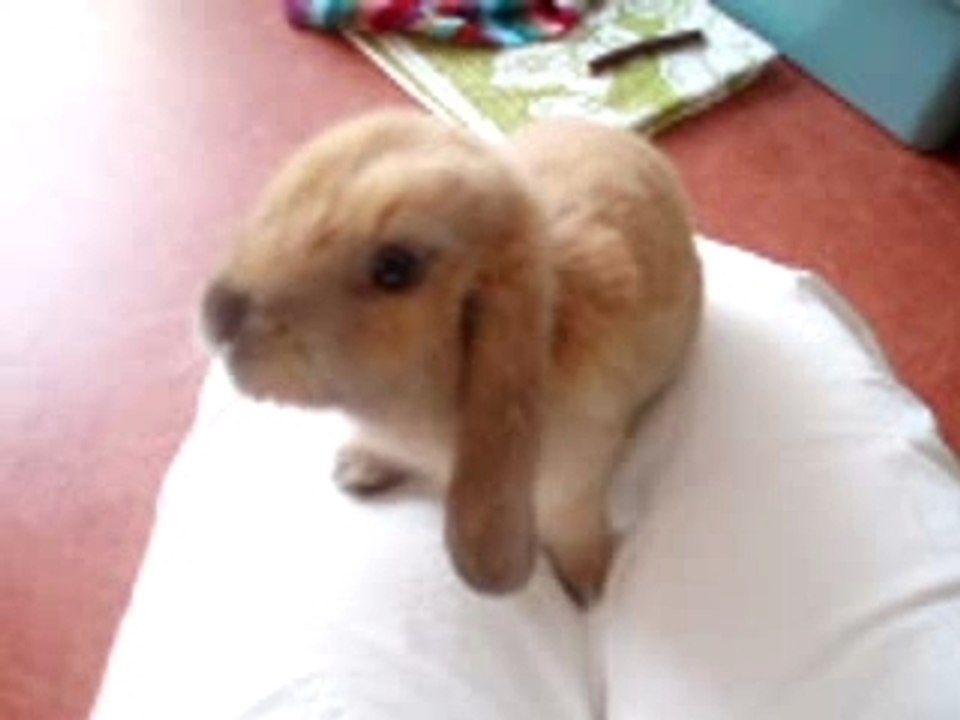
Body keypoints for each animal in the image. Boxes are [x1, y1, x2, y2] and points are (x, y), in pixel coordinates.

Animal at [200, 110, 701, 606]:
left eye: (395, 268)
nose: (217, 311)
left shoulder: (576, 482)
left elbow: (573, 526)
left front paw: (591, 585)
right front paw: (355, 468)